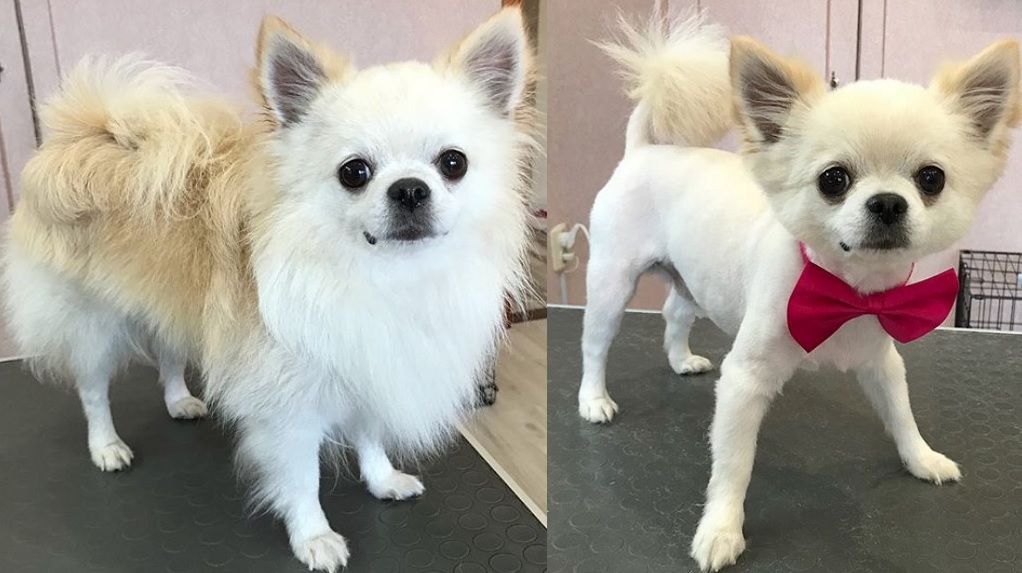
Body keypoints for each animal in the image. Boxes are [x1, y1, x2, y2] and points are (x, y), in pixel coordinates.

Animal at [3, 7, 535, 567]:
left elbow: (370, 437)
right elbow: (303, 480)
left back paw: (179, 401)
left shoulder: (367, 369)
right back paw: (106, 446)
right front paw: (313, 537)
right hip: (91, 328)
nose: (409, 189)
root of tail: (85, 134)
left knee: (168, 353)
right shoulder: (288, 410)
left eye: (453, 163)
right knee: (92, 391)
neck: (385, 276)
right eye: (354, 172)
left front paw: (382, 480)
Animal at [580, 11, 1017, 567]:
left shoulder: (880, 360)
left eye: (931, 178)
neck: (845, 286)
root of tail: (643, 150)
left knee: (674, 314)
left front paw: (922, 458)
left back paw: (681, 360)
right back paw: (593, 399)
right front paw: (721, 530)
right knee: (595, 345)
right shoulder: (745, 380)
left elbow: (901, 414)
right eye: (834, 179)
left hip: (694, 280)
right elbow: (733, 465)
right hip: (611, 284)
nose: (887, 202)